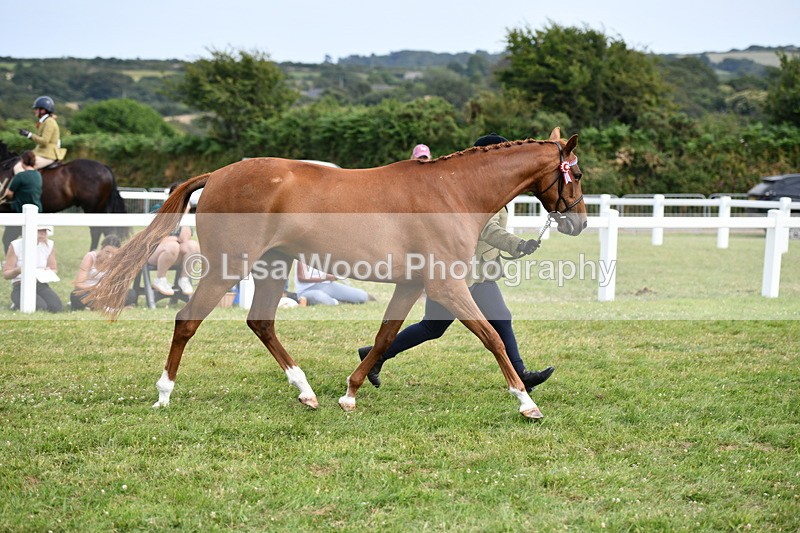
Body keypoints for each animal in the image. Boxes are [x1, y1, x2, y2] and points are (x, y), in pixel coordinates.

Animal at [85, 127, 587, 421]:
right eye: (577, 174)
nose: (579, 222)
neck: (452, 191)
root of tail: (219, 174)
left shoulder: (412, 283)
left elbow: (386, 338)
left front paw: (350, 393)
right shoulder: (446, 283)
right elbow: (492, 336)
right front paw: (527, 402)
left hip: (273, 265)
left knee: (261, 322)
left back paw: (306, 392)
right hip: (229, 267)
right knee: (187, 320)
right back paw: (164, 394)